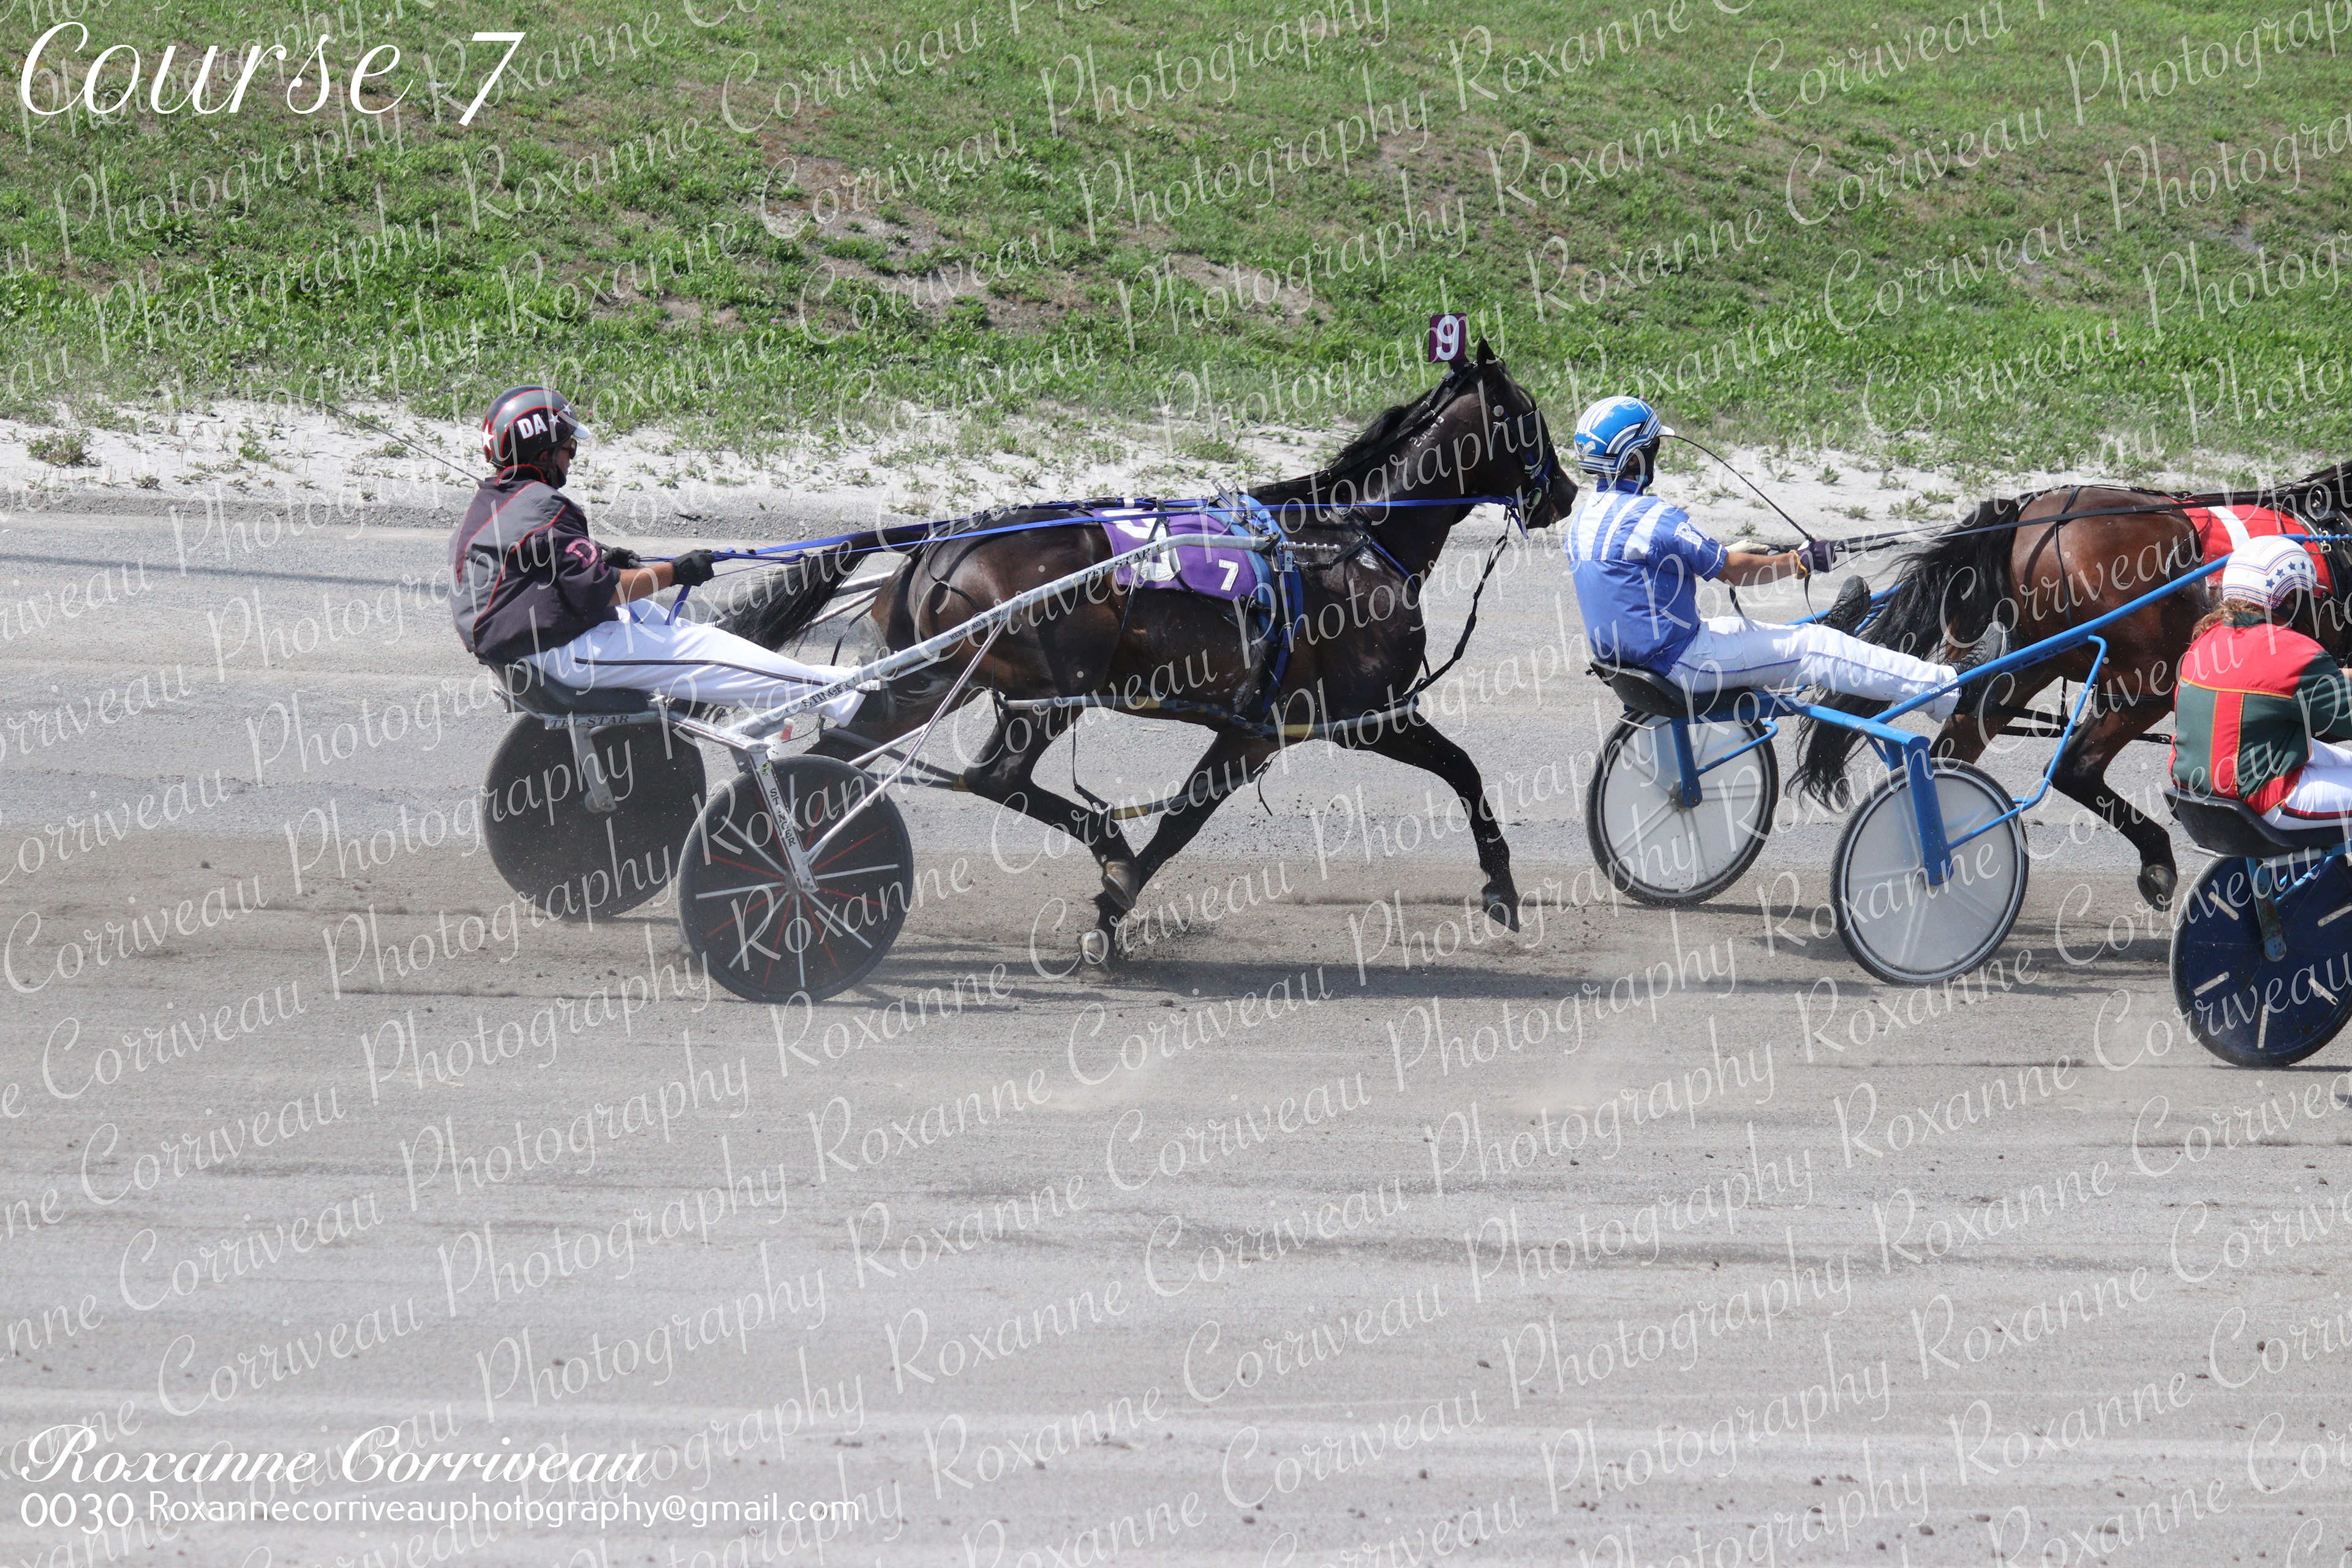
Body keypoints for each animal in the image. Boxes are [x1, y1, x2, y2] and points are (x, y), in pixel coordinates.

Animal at [719, 344, 1579, 961]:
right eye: (1531, 419)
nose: (1566, 493)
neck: (1353, 542)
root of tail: (947, 539)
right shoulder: (1364, 716)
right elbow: (1464, 770)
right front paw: (1502, 890)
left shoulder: (1252, 728)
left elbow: (1184, 819)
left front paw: (1111, 911)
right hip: (1044, 692)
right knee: (993, 775)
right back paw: (1103, 843)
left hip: (930, 681)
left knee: (841, 751)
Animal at [1793, 461, 2352, 909]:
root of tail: (2033, 512)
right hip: (2145, 679)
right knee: (2074, 766)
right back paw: (2155, 861)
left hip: (2030, 665)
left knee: (1952, 749)